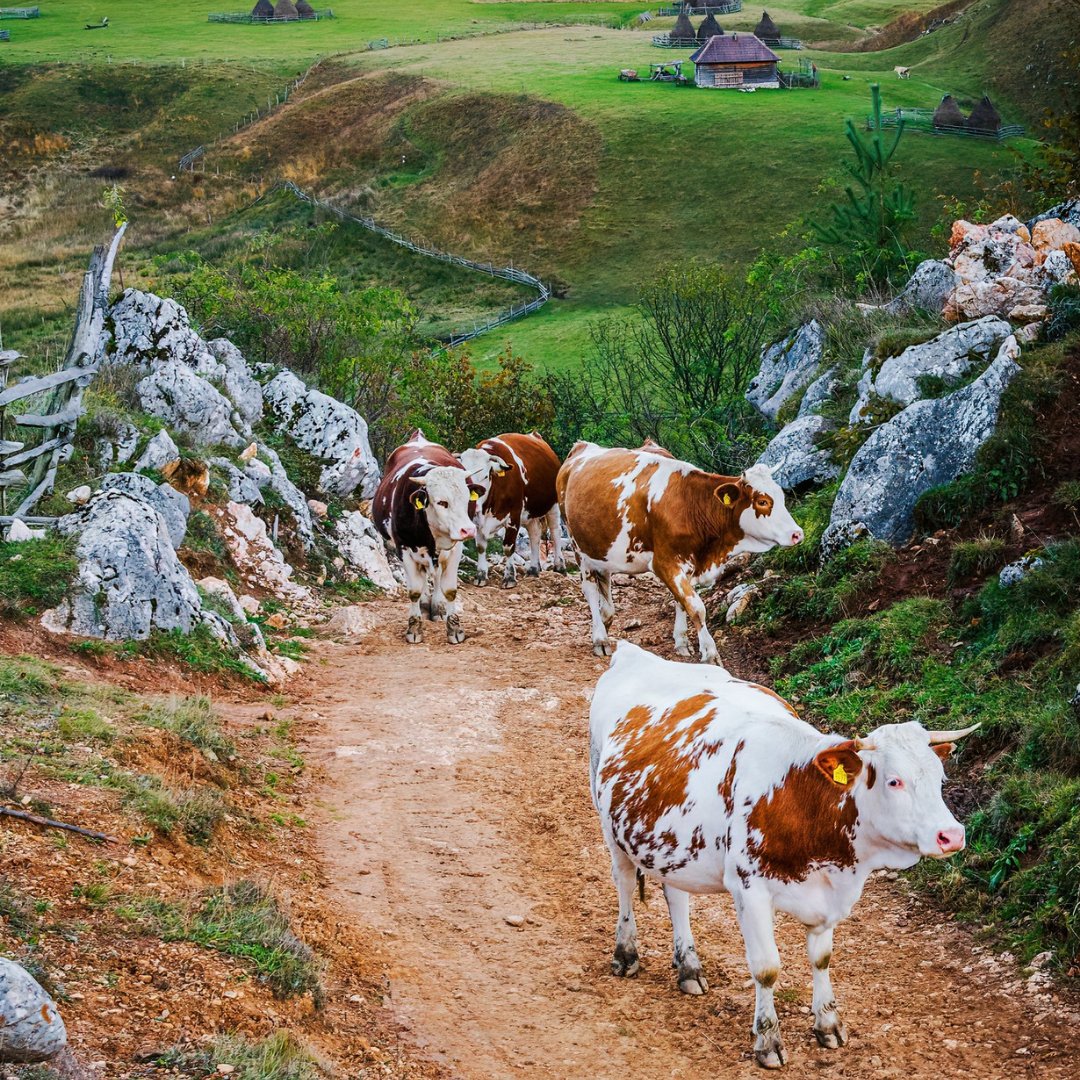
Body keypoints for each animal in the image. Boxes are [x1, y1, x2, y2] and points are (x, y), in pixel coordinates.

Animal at [372, 430, 480, 645]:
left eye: (467, 499)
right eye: (441, 502)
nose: (468, 530)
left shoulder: (455, 549)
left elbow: (450, 590)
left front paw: (454, 629)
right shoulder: (404, 548)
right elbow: (414, 590)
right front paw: (414, 628)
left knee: (436, 576)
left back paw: (437, 607)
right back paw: (424, 605)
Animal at [456, 432, 566, 588]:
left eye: (485, 475)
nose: (473, 503)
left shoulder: (513, 517)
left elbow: (508, 548)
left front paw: (509, 578)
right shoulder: (477, 522)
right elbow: (481, 547)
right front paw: (481, 576)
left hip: (553, 504)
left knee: (556, 532)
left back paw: (559, 566)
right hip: (530, 512)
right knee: (535, 534)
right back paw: (533, 569)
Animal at [556, 442, 803, 664]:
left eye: (782, 497)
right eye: (762, 501)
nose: (797, 534)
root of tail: (582, 446)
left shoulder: (690, 562)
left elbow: (681, 601)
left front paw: (682, 642)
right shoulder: (666, 563)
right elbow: (697, 607)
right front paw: (710, 654)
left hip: (600, 546)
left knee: (604, 579)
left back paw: (607, 619)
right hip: (577, 545)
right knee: (590, 589)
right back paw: (600, 638)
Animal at [590, 642, 977, 1069]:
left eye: (940, 778)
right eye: (894, 781)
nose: (951, 835)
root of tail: (634, 653)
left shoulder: (827, 892)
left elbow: (821, 959)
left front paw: (828, 1024)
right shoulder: (749, 890)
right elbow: (766, 969)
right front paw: (768, 1040)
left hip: (673, 844)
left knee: (677, 895)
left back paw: (688, 965)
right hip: (610, 824)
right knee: (625, 883)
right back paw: (626, 952)